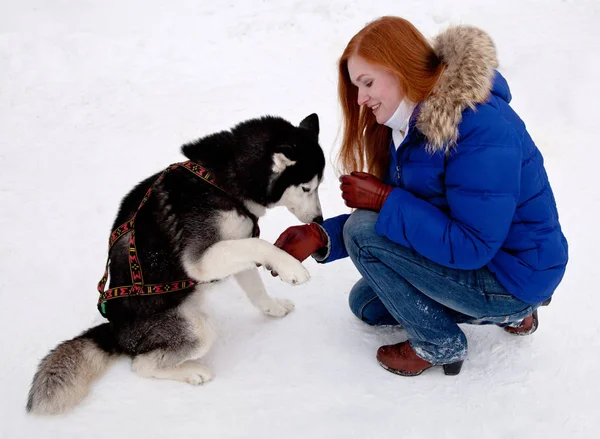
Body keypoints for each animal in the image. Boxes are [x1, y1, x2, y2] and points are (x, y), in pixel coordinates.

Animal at [27, 113, 328, 416]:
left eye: (318, 186)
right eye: (307, 188)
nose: (319, 219)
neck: (222, 180)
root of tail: (115, 332)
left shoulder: (238, 240)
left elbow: (256, 288)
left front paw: (273, 307)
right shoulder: (202, 259)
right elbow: (261, 246)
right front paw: (292, 268)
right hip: (194, 329)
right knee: (141, 364)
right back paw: (191, 371)